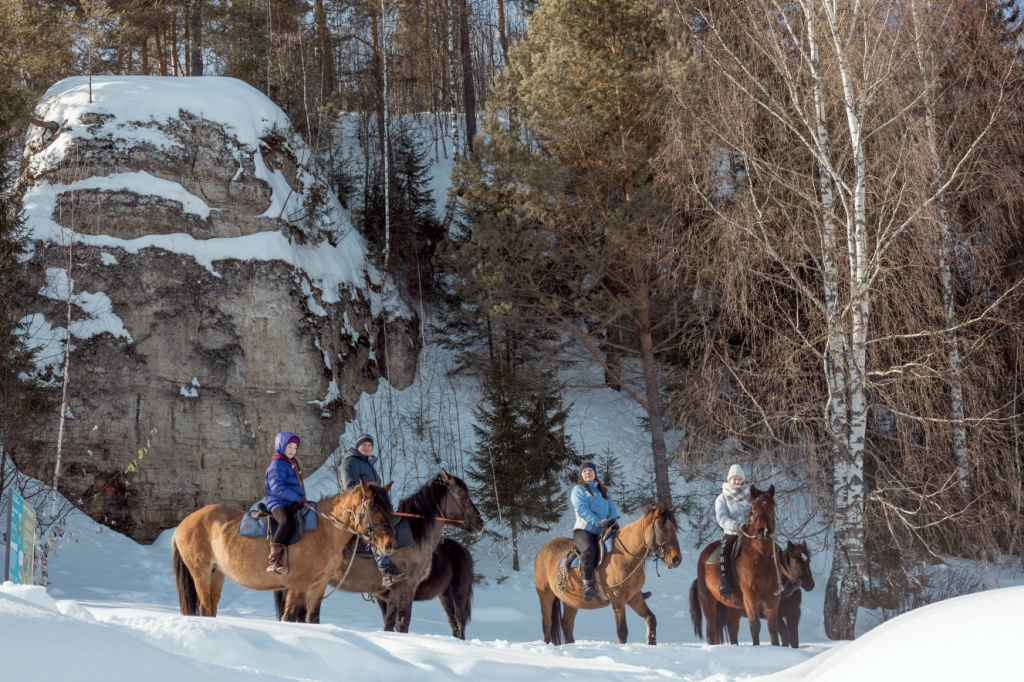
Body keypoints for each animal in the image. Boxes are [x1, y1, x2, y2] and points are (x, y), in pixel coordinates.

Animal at [172, 477, 395, 622]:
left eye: (389, 507)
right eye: (373, 507)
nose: (390, 544)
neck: (323, 531)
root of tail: (183, 524)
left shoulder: (318, 585)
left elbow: (312, 618)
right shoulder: (298, 585)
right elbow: (289, 616)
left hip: (216, 573)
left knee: (211, 607)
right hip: (200, 572)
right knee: (204, 607)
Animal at [532, 503, 684, 643]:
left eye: (675, 528)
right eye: (664, 529)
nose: (676, 559)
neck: (625, 556)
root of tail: (542, 550)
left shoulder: (634, 597)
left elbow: (651, 619)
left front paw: (650, 641)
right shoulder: (617, 599)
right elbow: (622, 631)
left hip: (571, 601)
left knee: (566, 625)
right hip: (546, 595)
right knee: (547, 624)